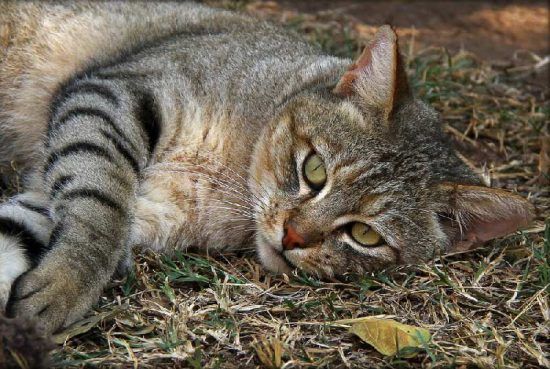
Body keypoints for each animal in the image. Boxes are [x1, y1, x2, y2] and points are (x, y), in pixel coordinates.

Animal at [0, 0, 536, 334]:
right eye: (314, 169)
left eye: (365, 235)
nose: (293, 237)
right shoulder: (116, 94)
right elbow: (100, 209)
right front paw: (68, 283)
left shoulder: (63, 200)